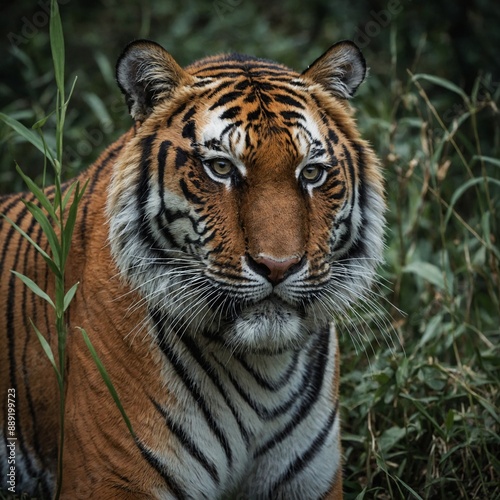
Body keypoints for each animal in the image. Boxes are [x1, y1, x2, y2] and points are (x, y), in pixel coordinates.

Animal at [0, 40, 384, 500]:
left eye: (311, 172)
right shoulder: (111, 479)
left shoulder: (312, 483)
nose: (278, 266)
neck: (265, 371)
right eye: (221, 168)